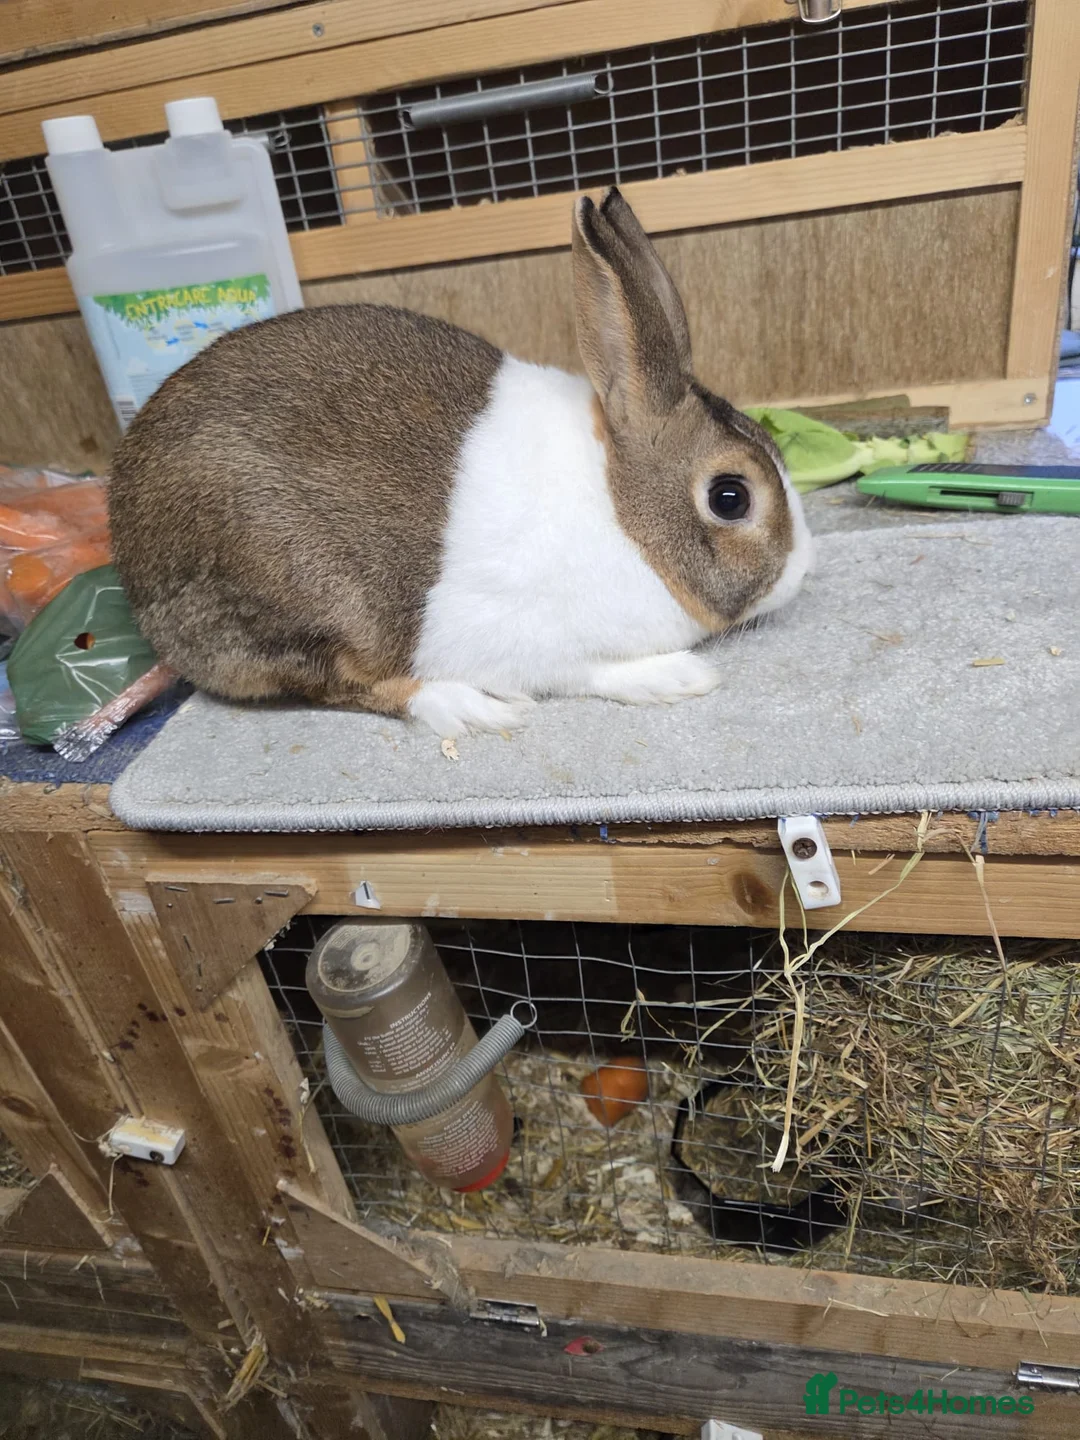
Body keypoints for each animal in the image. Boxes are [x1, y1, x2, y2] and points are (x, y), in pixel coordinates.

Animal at [108, 187, 812, 738]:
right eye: (730, 497)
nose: (803, 570)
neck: (624, 512)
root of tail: (136, 574)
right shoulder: (541, 644)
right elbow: (590, 672)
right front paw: (679, 677)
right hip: (318, 605)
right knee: (346, 684)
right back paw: (467, 706)